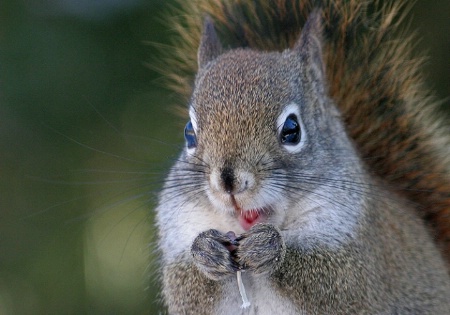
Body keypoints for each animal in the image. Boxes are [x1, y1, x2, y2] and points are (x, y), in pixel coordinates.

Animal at [156, 0, 450, 314]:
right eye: (189, 133)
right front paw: (205, 250)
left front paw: (270, 248)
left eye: (292, 129)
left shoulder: (357, 257)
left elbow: (338, 283)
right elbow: (188, 288)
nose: (228, 181)